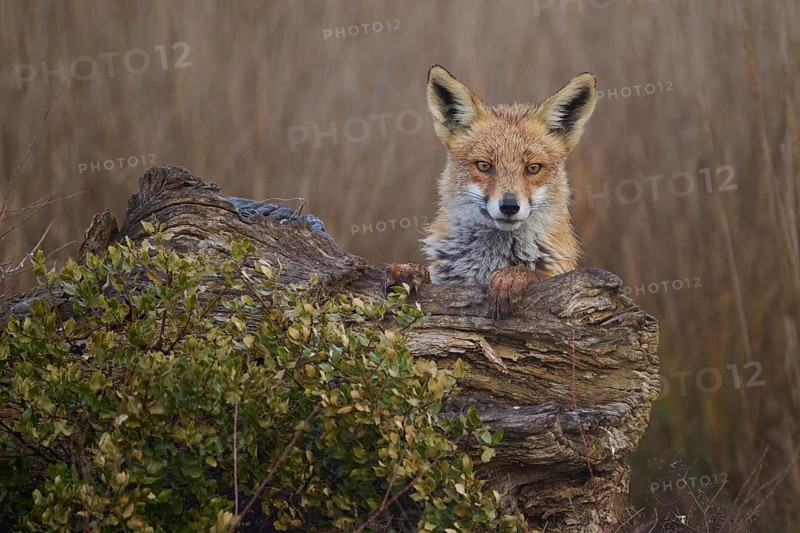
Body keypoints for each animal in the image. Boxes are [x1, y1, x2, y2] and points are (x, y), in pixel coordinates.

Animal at [385, 65, 597, 319]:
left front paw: (512, 277)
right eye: (484, 166)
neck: (491, 261)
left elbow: (533, 275)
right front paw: (409, 270)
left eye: (533, 168)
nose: (509, 206)